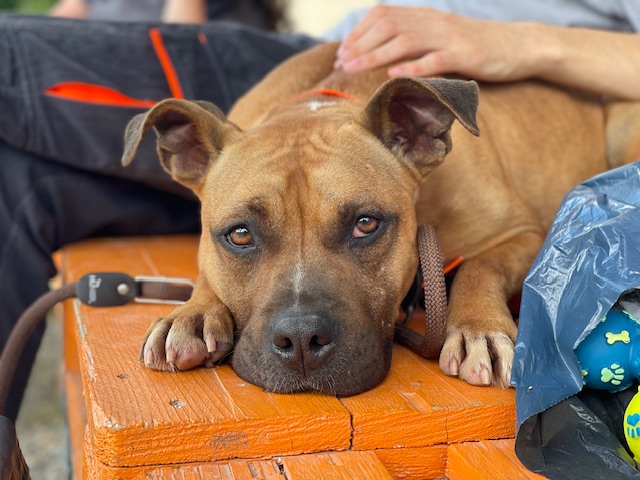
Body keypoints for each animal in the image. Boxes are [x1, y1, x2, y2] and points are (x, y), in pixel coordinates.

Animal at [122, 41, 640, 393]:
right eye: (240, 235)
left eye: (366, 224)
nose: (301, 340)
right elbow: (204, 272)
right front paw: (192, 314)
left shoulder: (521, 230)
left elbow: (480, 265)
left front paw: (479, 330)